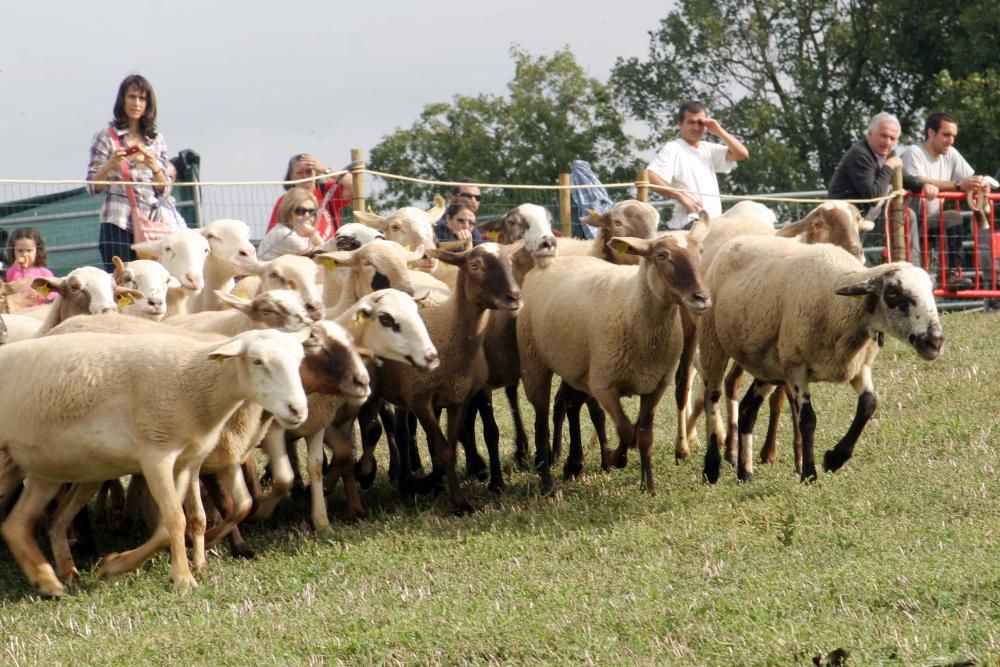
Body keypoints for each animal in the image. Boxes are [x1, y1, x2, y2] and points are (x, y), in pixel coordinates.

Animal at [0, 328, 308, 596]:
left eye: (300, 360)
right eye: (257, 361)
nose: (297, 410)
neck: (194, 383)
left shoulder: (183, 464)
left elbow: (168, 526)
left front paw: (115, 565)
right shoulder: (156, 456)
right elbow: (176, 518)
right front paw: (184, 579)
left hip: (47, 468)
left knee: (20, 524)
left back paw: (50, 583)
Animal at [516, 224, 712, 496]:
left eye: (700, 252)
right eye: (661, 255)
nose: (701, 298)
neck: (633, 306)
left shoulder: (655, 386)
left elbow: (644, 435)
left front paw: (648, 487)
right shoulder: (604, 386)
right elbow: (626, 430)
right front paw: (615, 458)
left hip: (576, 367)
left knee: (568, 405)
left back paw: (571, 465)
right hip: (534, 364)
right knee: (542, 423)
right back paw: (547, 482)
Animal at [696, 236, 944, 486]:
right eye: (893, 293)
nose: (935, 341)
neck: (840, 307)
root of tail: (736, 241)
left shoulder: (858, 366)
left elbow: (869, 404)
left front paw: (834, 459)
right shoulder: (796, 367)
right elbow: (807, 419)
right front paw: (809, 474)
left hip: (768, 365)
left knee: (747, 409)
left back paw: (745, 473)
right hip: (712, 341)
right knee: (712, 397)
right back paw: (711, 468)